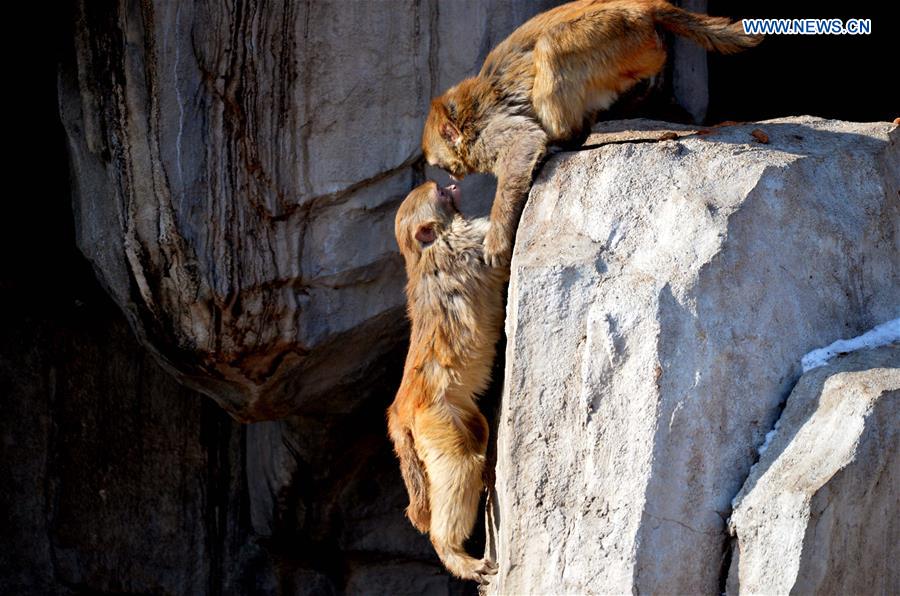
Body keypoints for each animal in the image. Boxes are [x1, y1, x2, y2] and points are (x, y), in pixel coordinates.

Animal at [386, 180, 510, 584]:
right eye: (440, 194)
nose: (451, 185)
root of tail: (400, 410)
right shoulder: (467, 241)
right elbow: (497, 249)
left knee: (477, 431)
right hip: (434, 419)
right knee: (460, 465)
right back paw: (451, 551)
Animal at [426, 0, 764, 266]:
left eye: (441, 165)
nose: (453, 176)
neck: (467, 119)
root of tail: (642, 6)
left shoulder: (490, 130)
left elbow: (522, 142)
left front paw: (496, 241)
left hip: (615, 35)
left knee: (551, 46)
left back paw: (563, 137)